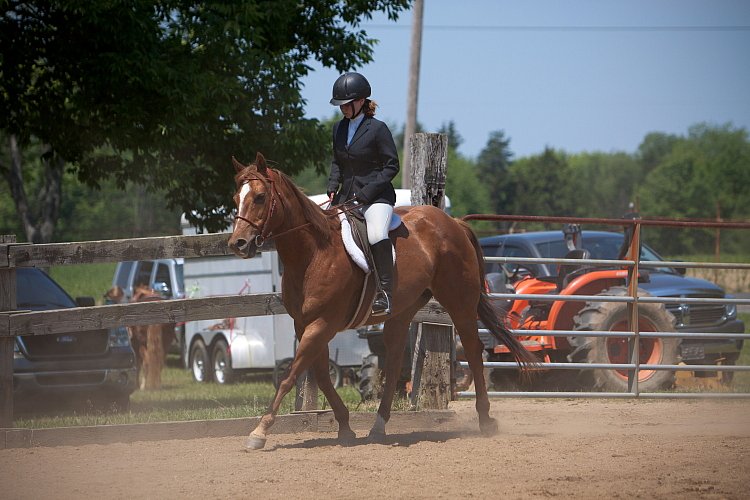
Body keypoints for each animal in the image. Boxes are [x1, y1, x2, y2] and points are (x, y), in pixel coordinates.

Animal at [226, 152, 536, 450]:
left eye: (260, 197)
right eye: (235, 199)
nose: (238, 244)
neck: (313, 254)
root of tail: (454, 223)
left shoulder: (322, 324)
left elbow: (290, 375)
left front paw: (259, 431)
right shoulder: (304, 325)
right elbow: (322, 376)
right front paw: (345, 427)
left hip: (459, 302)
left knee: (472, 351)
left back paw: (485, 419)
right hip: (402, 311)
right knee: (396, 361)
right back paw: (378, 426)